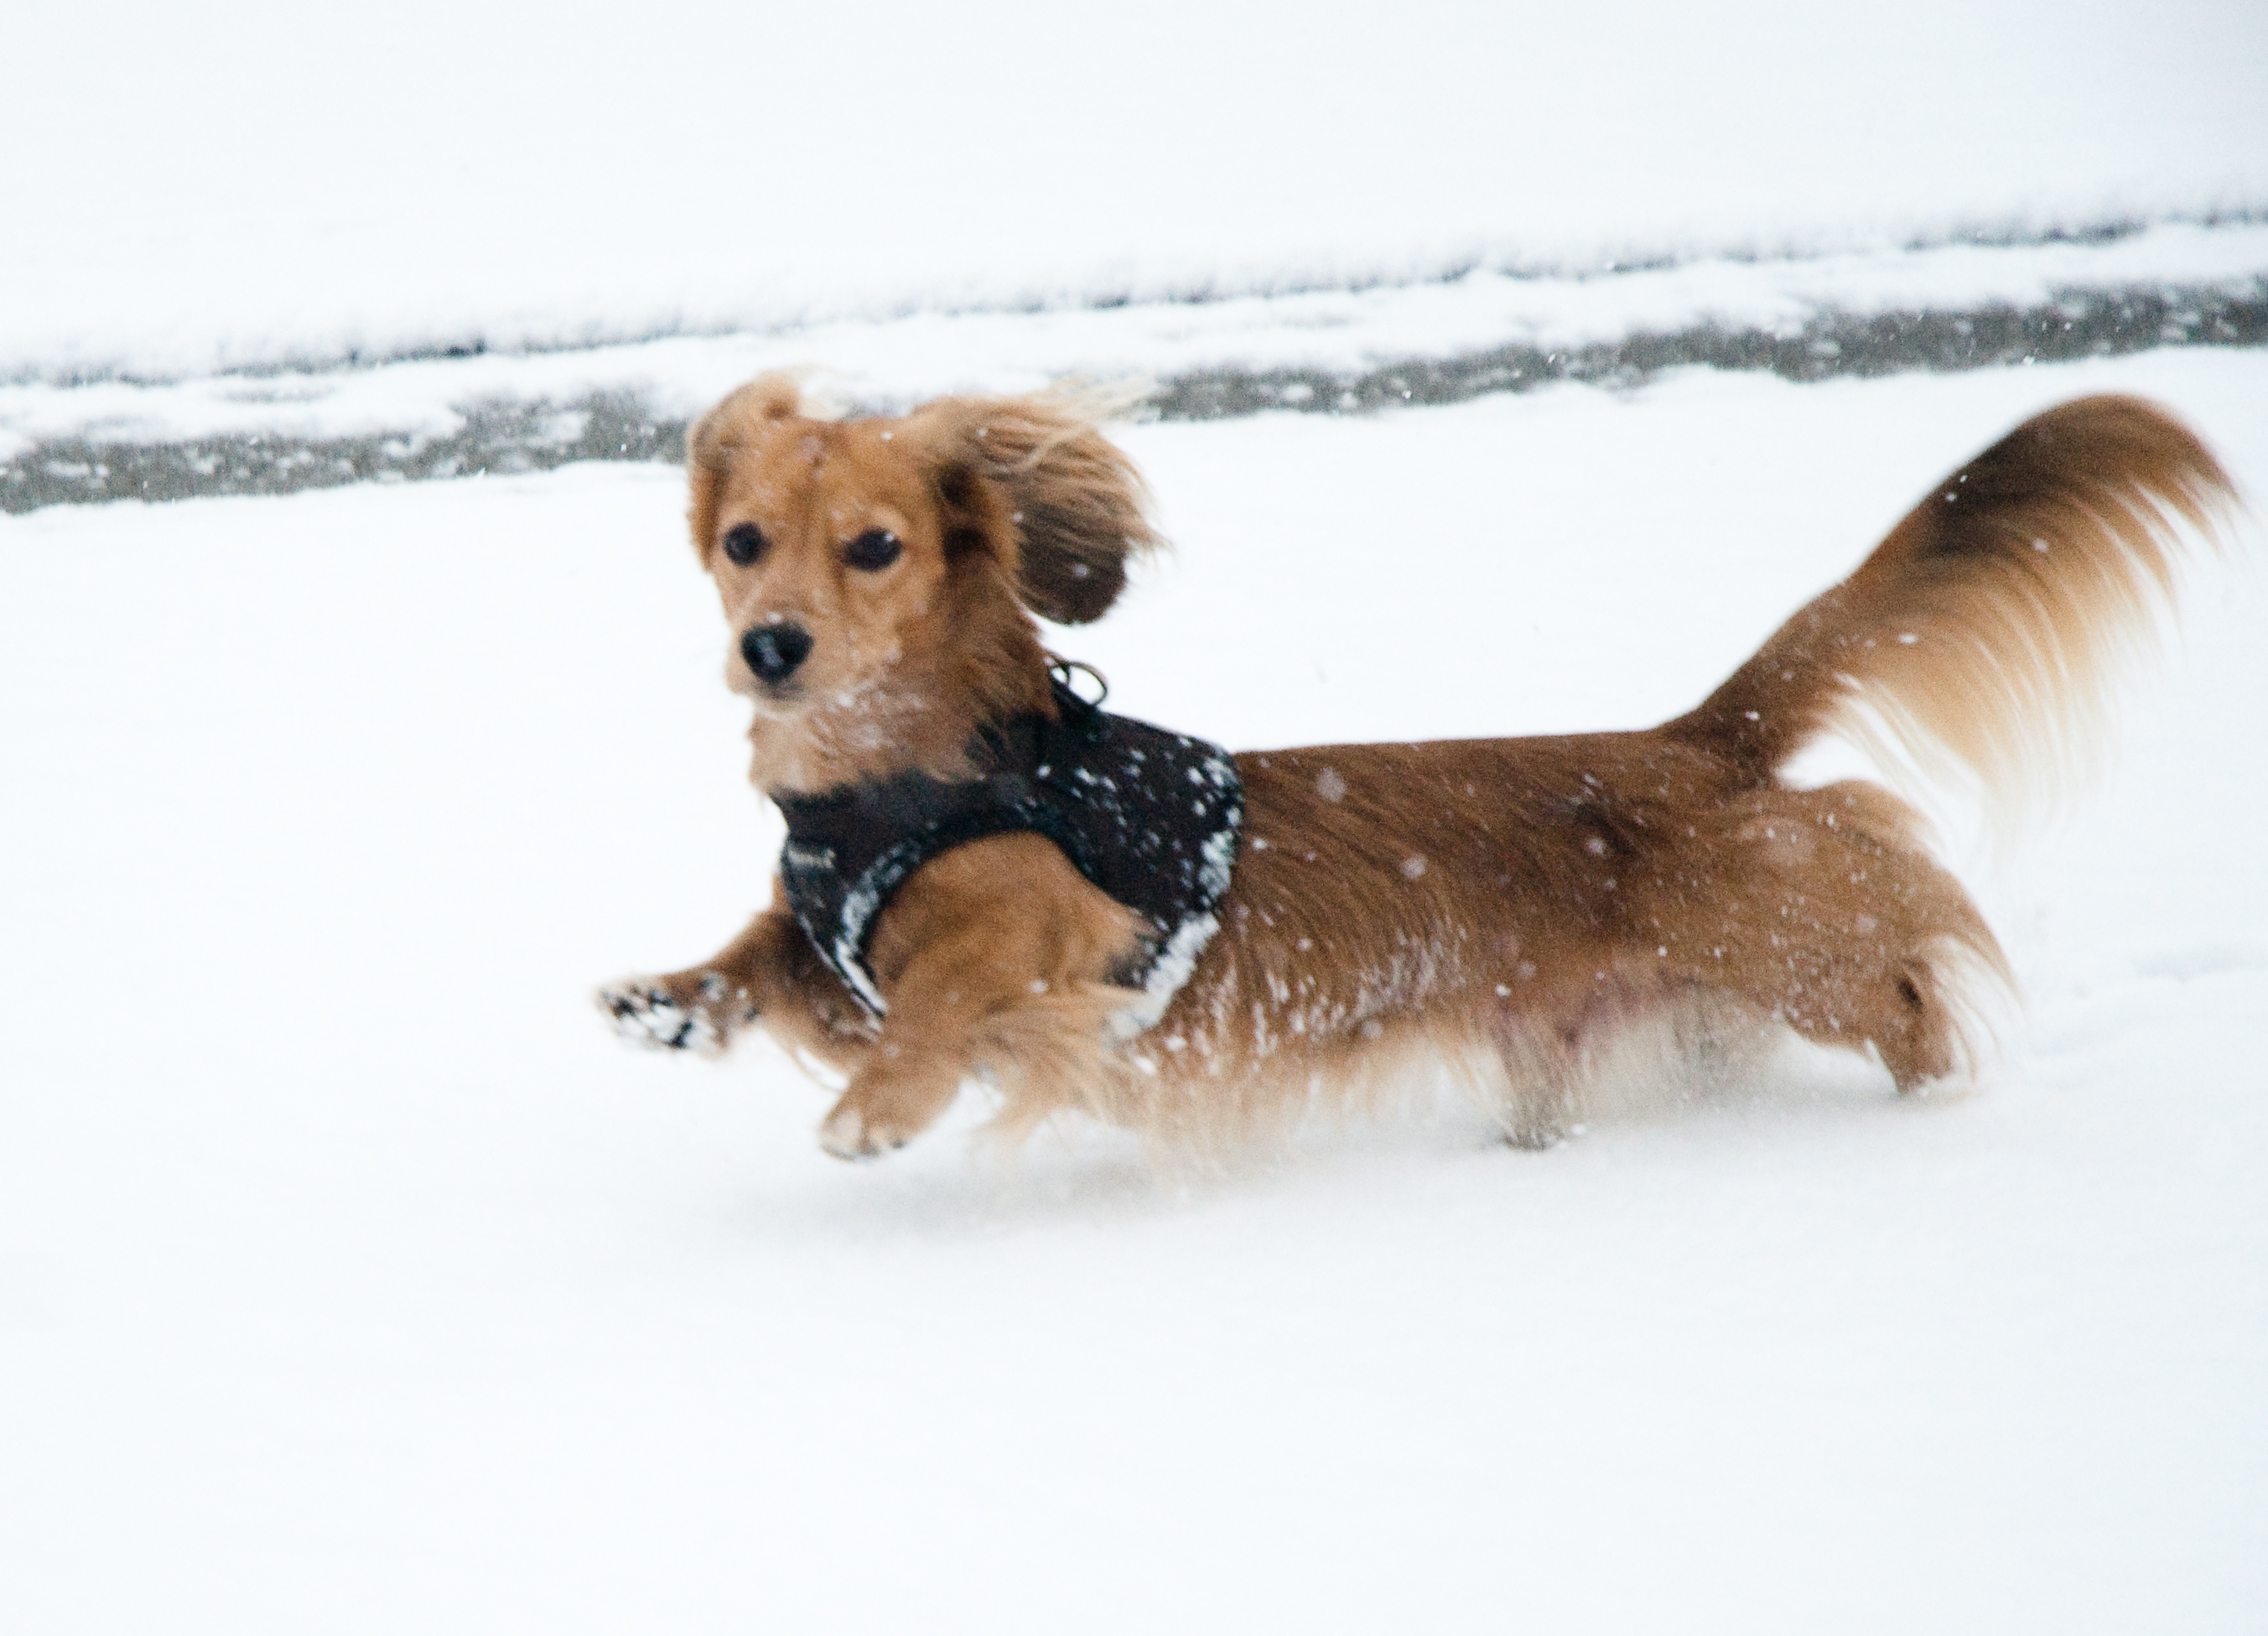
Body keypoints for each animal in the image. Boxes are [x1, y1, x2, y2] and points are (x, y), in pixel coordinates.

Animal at [599, 377, 2231, 1157]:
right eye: (743, 541)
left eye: (875, 545)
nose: (773, 647)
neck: (907, 778)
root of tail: (1700, 738)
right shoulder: (821, 939)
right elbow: (759, 958)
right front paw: (666, 998)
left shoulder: (1060, 928)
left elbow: (944, 998)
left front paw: (878, 1113)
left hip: (1800, 956)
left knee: (1907, 998)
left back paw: (1941, 1119)